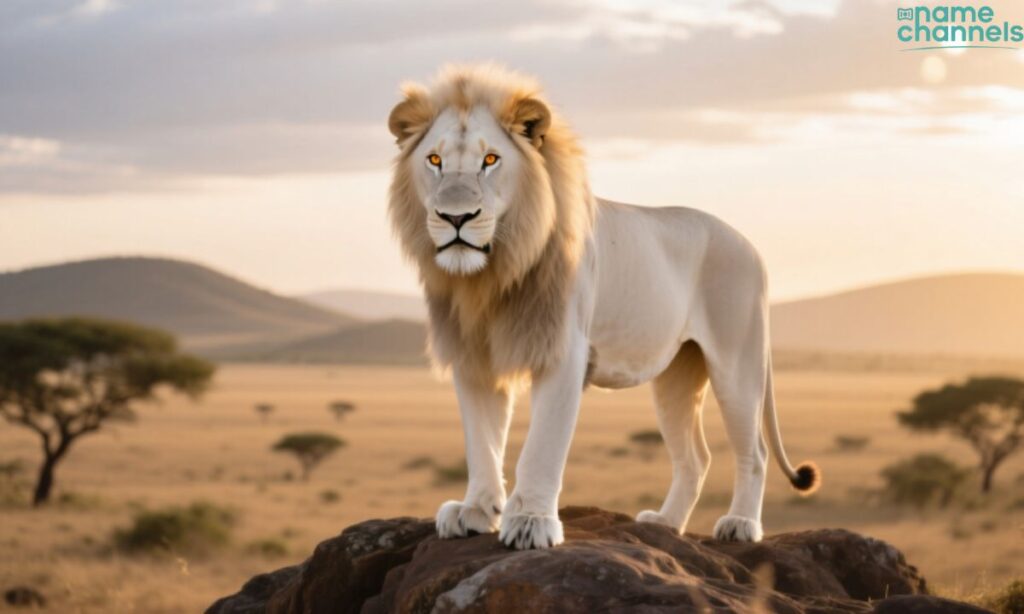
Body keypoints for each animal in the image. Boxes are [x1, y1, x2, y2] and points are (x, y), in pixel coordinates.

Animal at [387, 64, 819, 550]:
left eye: (491, 160)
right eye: (435, 161)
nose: (455, 218)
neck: (492, 277)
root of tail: (751, 246)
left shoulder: (563, 350)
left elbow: (542, 446)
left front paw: (532, 521)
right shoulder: (473, 354)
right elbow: (482, 441)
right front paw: (475, 511)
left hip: (737, 363)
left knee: (755, 452)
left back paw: (740, 524)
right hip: (676, 375)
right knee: (696, 457)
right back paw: (664, 523)